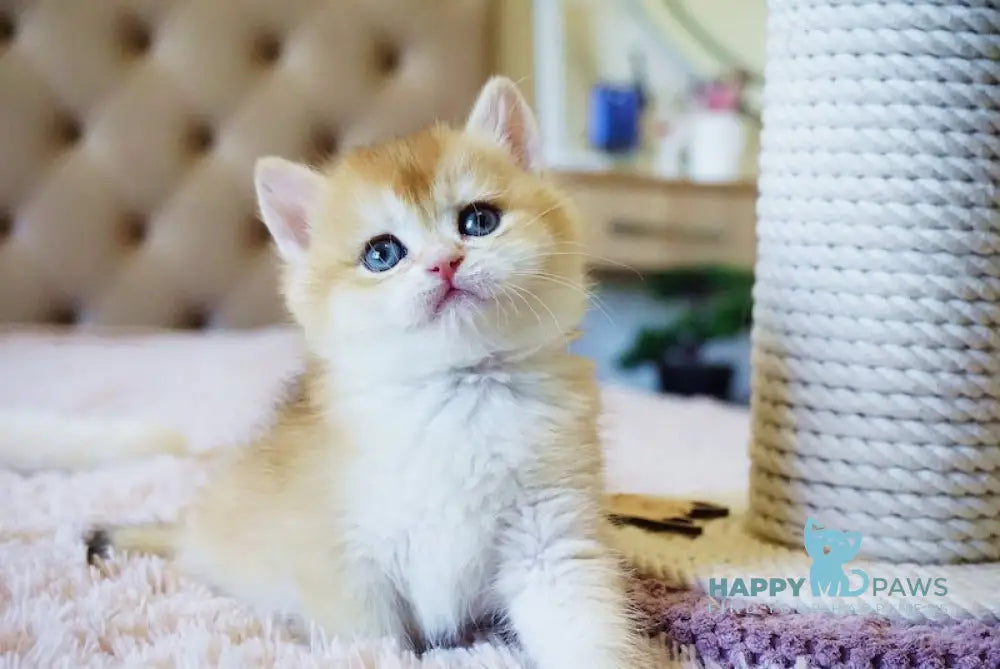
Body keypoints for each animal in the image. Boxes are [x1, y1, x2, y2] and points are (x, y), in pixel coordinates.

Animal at [86, 79, 648, 668]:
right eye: (382, 253)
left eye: (479, 221)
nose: (445, 262)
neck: (456, 393)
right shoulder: (346, 566)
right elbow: (370, 645)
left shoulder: (550, 543)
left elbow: (582, 624)